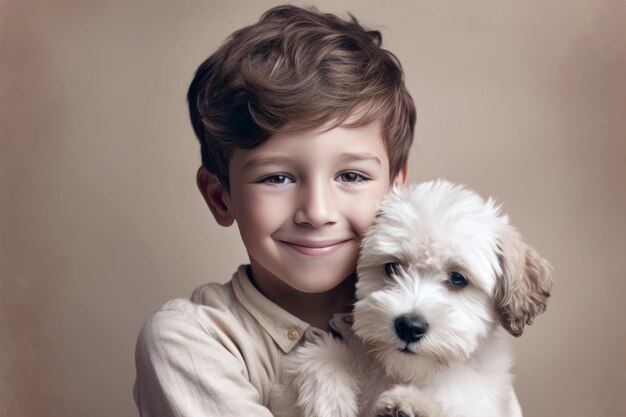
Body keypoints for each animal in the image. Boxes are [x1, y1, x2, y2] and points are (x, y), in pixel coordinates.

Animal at [288, 179, 552, 416]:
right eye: (393, 267)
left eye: (458, 278)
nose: (409, 326)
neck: (409, 373)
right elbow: (323, 353)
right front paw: (329, 397)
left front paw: (411, 404)